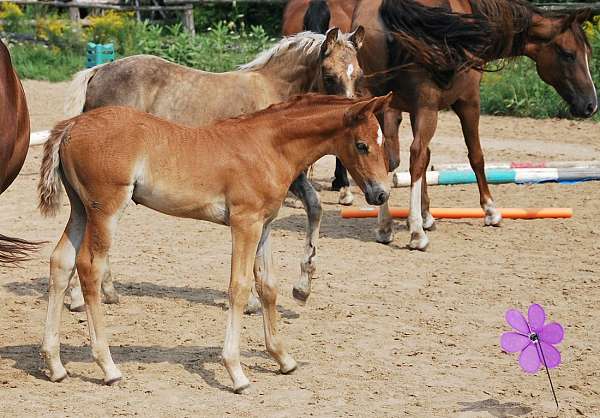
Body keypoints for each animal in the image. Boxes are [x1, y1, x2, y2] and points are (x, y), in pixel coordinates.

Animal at [39, 93, 392, 394]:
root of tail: (71, 125)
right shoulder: (244, 223)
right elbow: (240, 287)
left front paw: (283, 358)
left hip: (80, 209)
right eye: (362, 145)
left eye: (382, 142)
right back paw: (108, 367)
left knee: (60, 262)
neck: (268, 146)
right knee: (89, 268)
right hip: (106, 210)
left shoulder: (264, 225)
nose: (381, 194)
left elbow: (267, 286)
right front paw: (236, 373)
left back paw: (55, 365)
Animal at [65, 30, 366, 310]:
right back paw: (80, 297)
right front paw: (258, 299)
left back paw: (108, 292)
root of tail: (98, 71)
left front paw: (302, 287)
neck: (274, 94)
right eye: (329, 74)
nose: (352, 114)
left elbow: (314, 207)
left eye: (359, 74)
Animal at [354, 0, 596, 248]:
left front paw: (426, 215)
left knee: (387, 155)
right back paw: (416, 234)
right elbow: (475, 156)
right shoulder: (468, 102)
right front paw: (490, 211)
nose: (591, 104)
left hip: (380, 105)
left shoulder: (413, 110)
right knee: (416, 156)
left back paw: (385, 226)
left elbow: (425, 156)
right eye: (569, 54)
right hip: (426, 108)